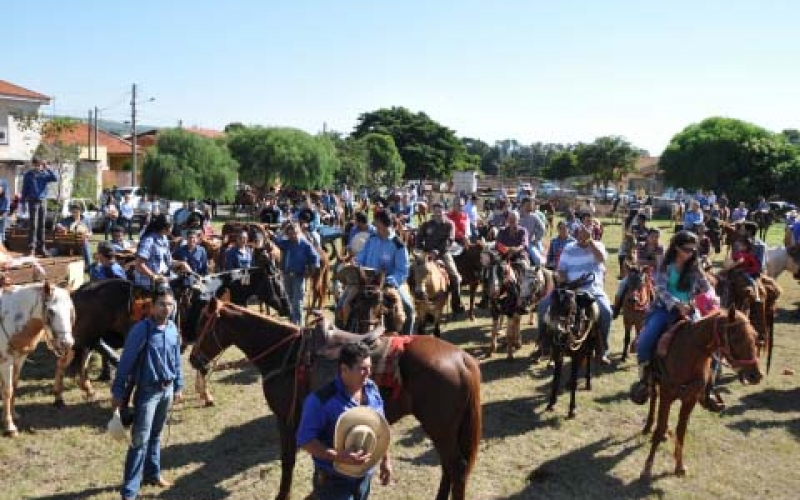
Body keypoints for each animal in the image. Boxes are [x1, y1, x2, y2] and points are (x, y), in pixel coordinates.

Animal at [0, 284, 74, 436]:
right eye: (51, 311)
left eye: (70, 309)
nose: (67, 343)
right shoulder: (6, 360)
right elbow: (7, 390)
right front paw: (10, 427)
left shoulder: (19, 358)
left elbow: (14, 386)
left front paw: (13, 415)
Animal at [189, 300, 482, 500]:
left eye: (204, 322)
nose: (193, 359)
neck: (285, 354)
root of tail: (462, 358)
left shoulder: (285, 419)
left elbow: (287, 461)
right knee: (449, 467)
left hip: (440, 428)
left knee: (456, 467)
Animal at [644, 306, 764, 478]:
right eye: (736, 338)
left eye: (755, 336)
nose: (756, 375)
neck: (688, 353)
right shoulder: (667, 395)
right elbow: (659, 429)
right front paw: (647, 467)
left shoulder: (690, 399)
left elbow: (681, 431)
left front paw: (679, 466)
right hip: (655, 380)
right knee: (654, 398)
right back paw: (648, 426)